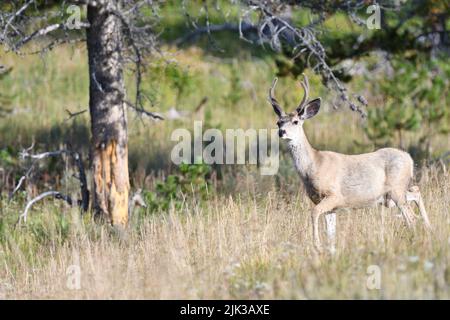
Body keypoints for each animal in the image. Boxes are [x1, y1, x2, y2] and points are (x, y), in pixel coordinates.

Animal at [268, 74, 430, 252]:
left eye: (296, 121)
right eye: (278, 122)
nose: (281, 132)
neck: (314, 165)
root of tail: (409, 158)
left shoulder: (334, 195)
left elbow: (314, 213)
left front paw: (316, 245)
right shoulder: (329, 206)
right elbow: (331, 233)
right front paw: (330, 251)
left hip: (396, 189)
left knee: (411, 217)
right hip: (392, 195)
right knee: (416, 191)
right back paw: (429, 228)